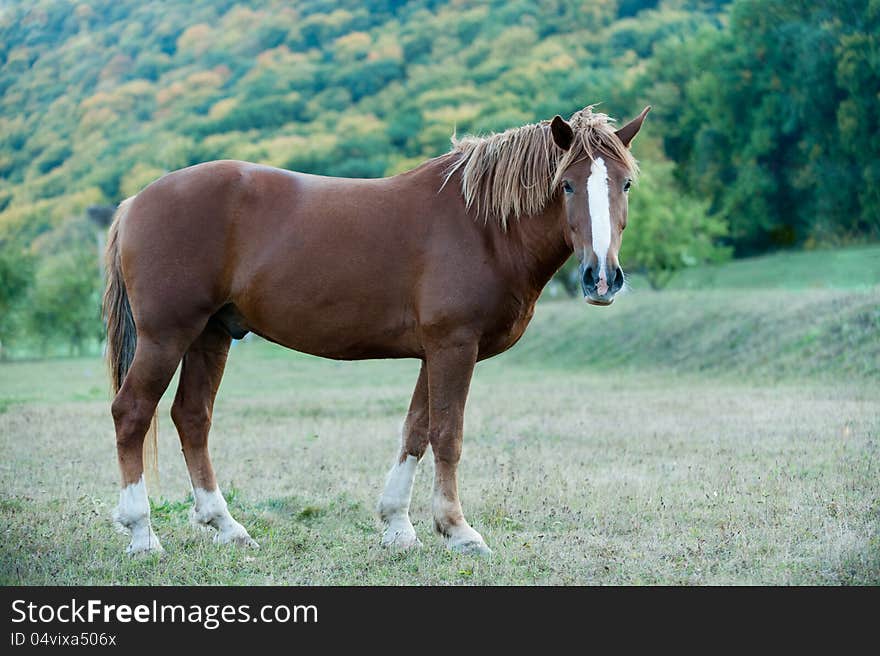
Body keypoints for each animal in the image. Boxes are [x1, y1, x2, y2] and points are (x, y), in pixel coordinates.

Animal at [105, 105, 648, 556]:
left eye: (624, 185)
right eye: (567, 185)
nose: (602, 278)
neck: (484, 227)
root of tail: (134, 203)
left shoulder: (436, 352)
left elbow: (416, 430)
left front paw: (398, 526)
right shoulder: (454, 346)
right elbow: (447, 434)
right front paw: (457, 530)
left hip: (211, 334)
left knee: (192, 417)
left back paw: (226, 526)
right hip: (166, 336)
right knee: (132, 413)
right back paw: (142, 534)